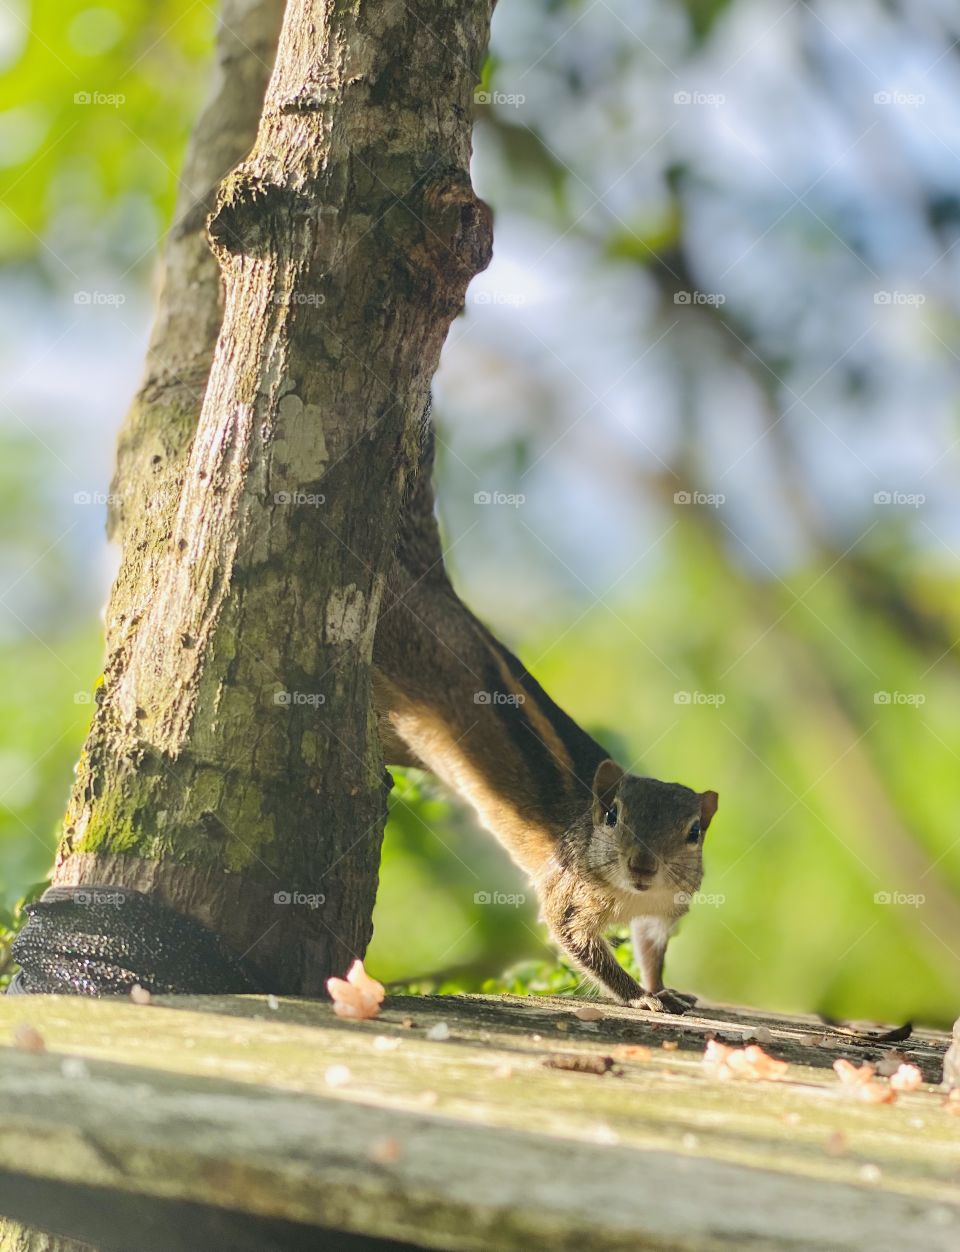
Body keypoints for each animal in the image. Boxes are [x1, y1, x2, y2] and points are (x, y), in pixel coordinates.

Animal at [372, 415, 718, 1013]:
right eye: (613, 815)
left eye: (694, 831)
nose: (643, 865)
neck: (632, 894)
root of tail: (437, 591)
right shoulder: (569, 894)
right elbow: (578, 941)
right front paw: (639, 999)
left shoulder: (661, 914)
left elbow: (651, 950)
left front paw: (663, 989)